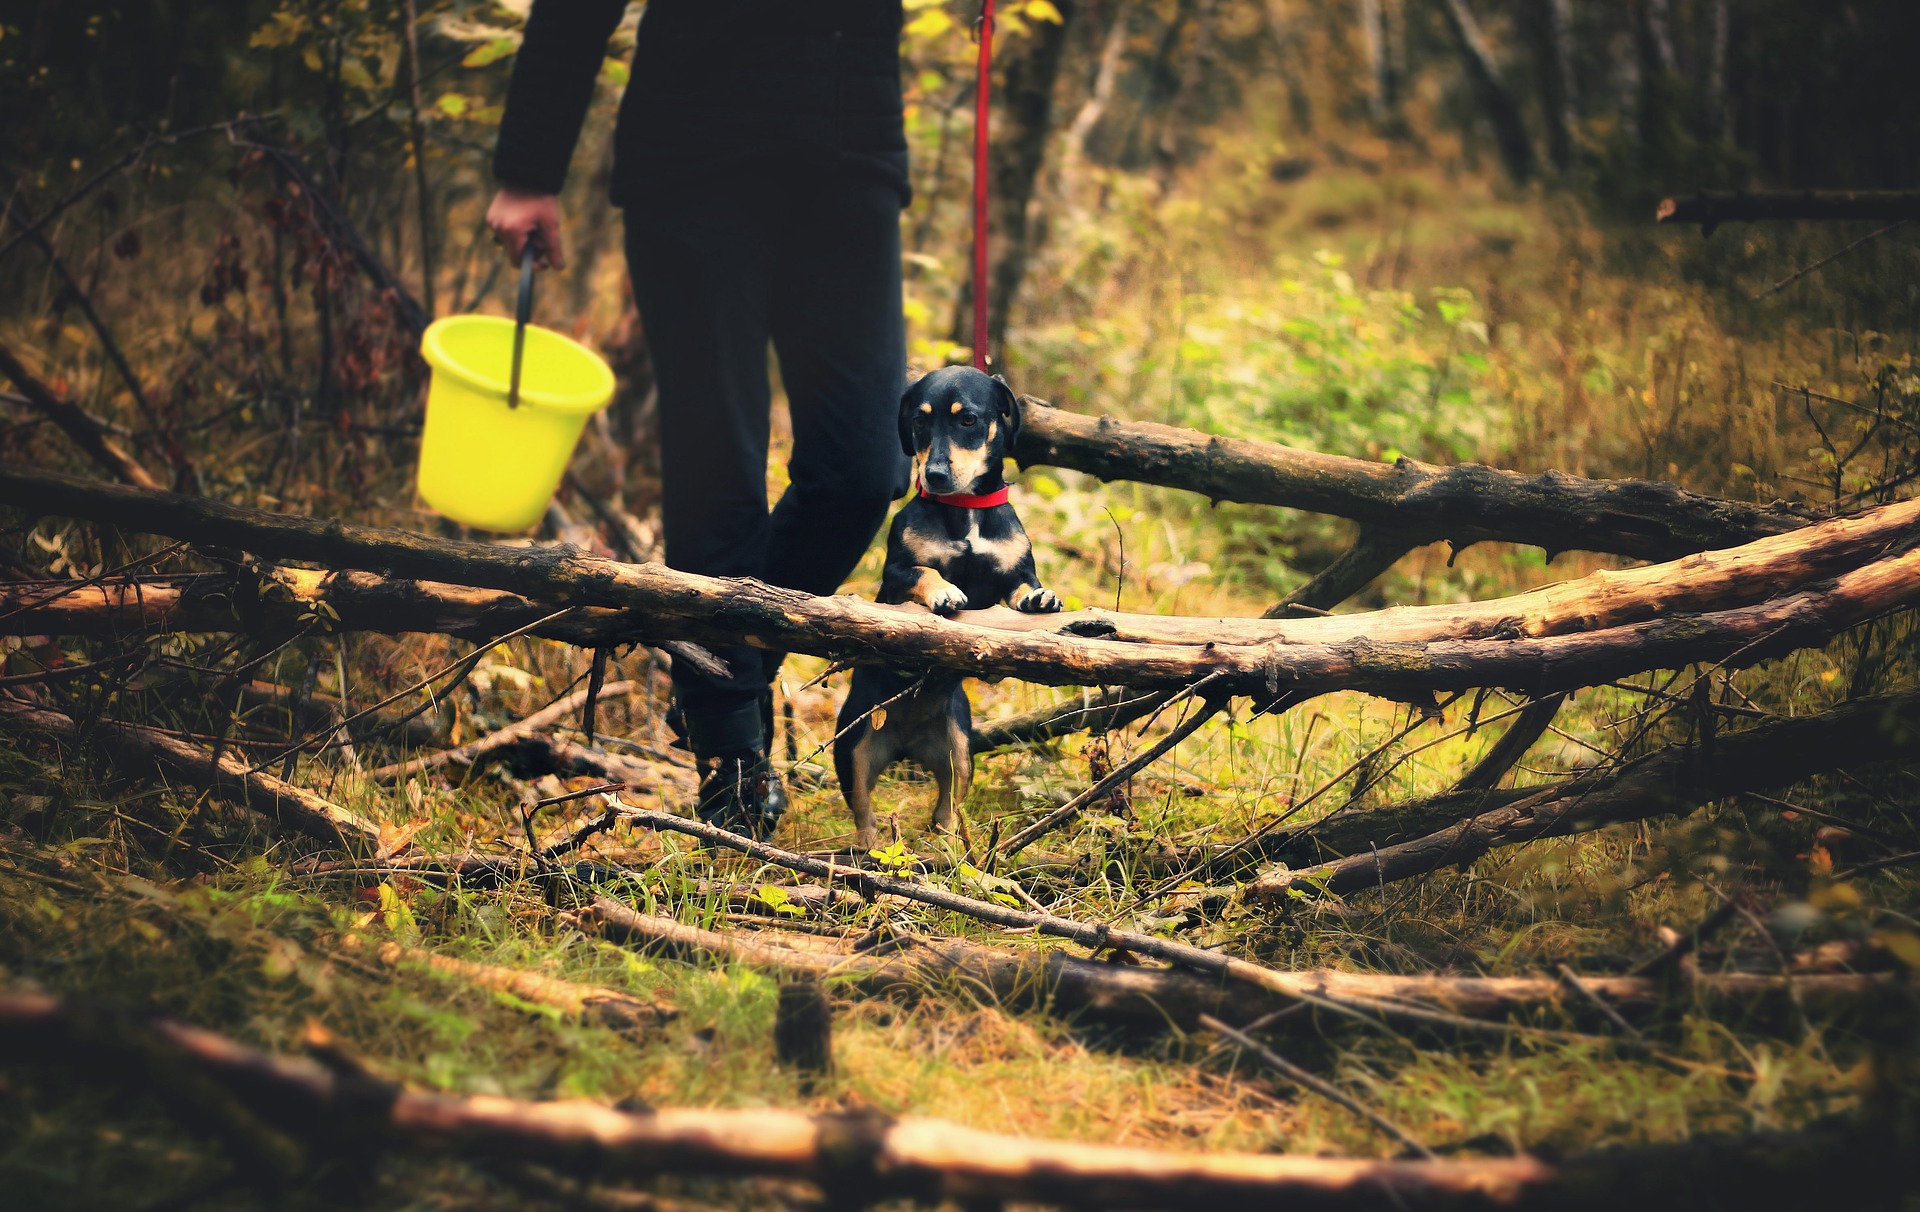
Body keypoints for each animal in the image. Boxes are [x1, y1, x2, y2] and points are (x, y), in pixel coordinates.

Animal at [829, 364, 1059, 848]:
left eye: (967, 420)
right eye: (919, 422)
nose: (934, 474)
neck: (965, 508)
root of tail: (905, 743)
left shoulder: (1014, 572)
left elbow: (1020, 589)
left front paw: (1038, 598)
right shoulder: (896, 575)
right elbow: (925, 573)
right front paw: (945, 592)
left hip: (959, 750)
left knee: (945, 809)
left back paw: (949, 845)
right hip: (854, 746)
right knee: (863, 810)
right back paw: (870, 849)